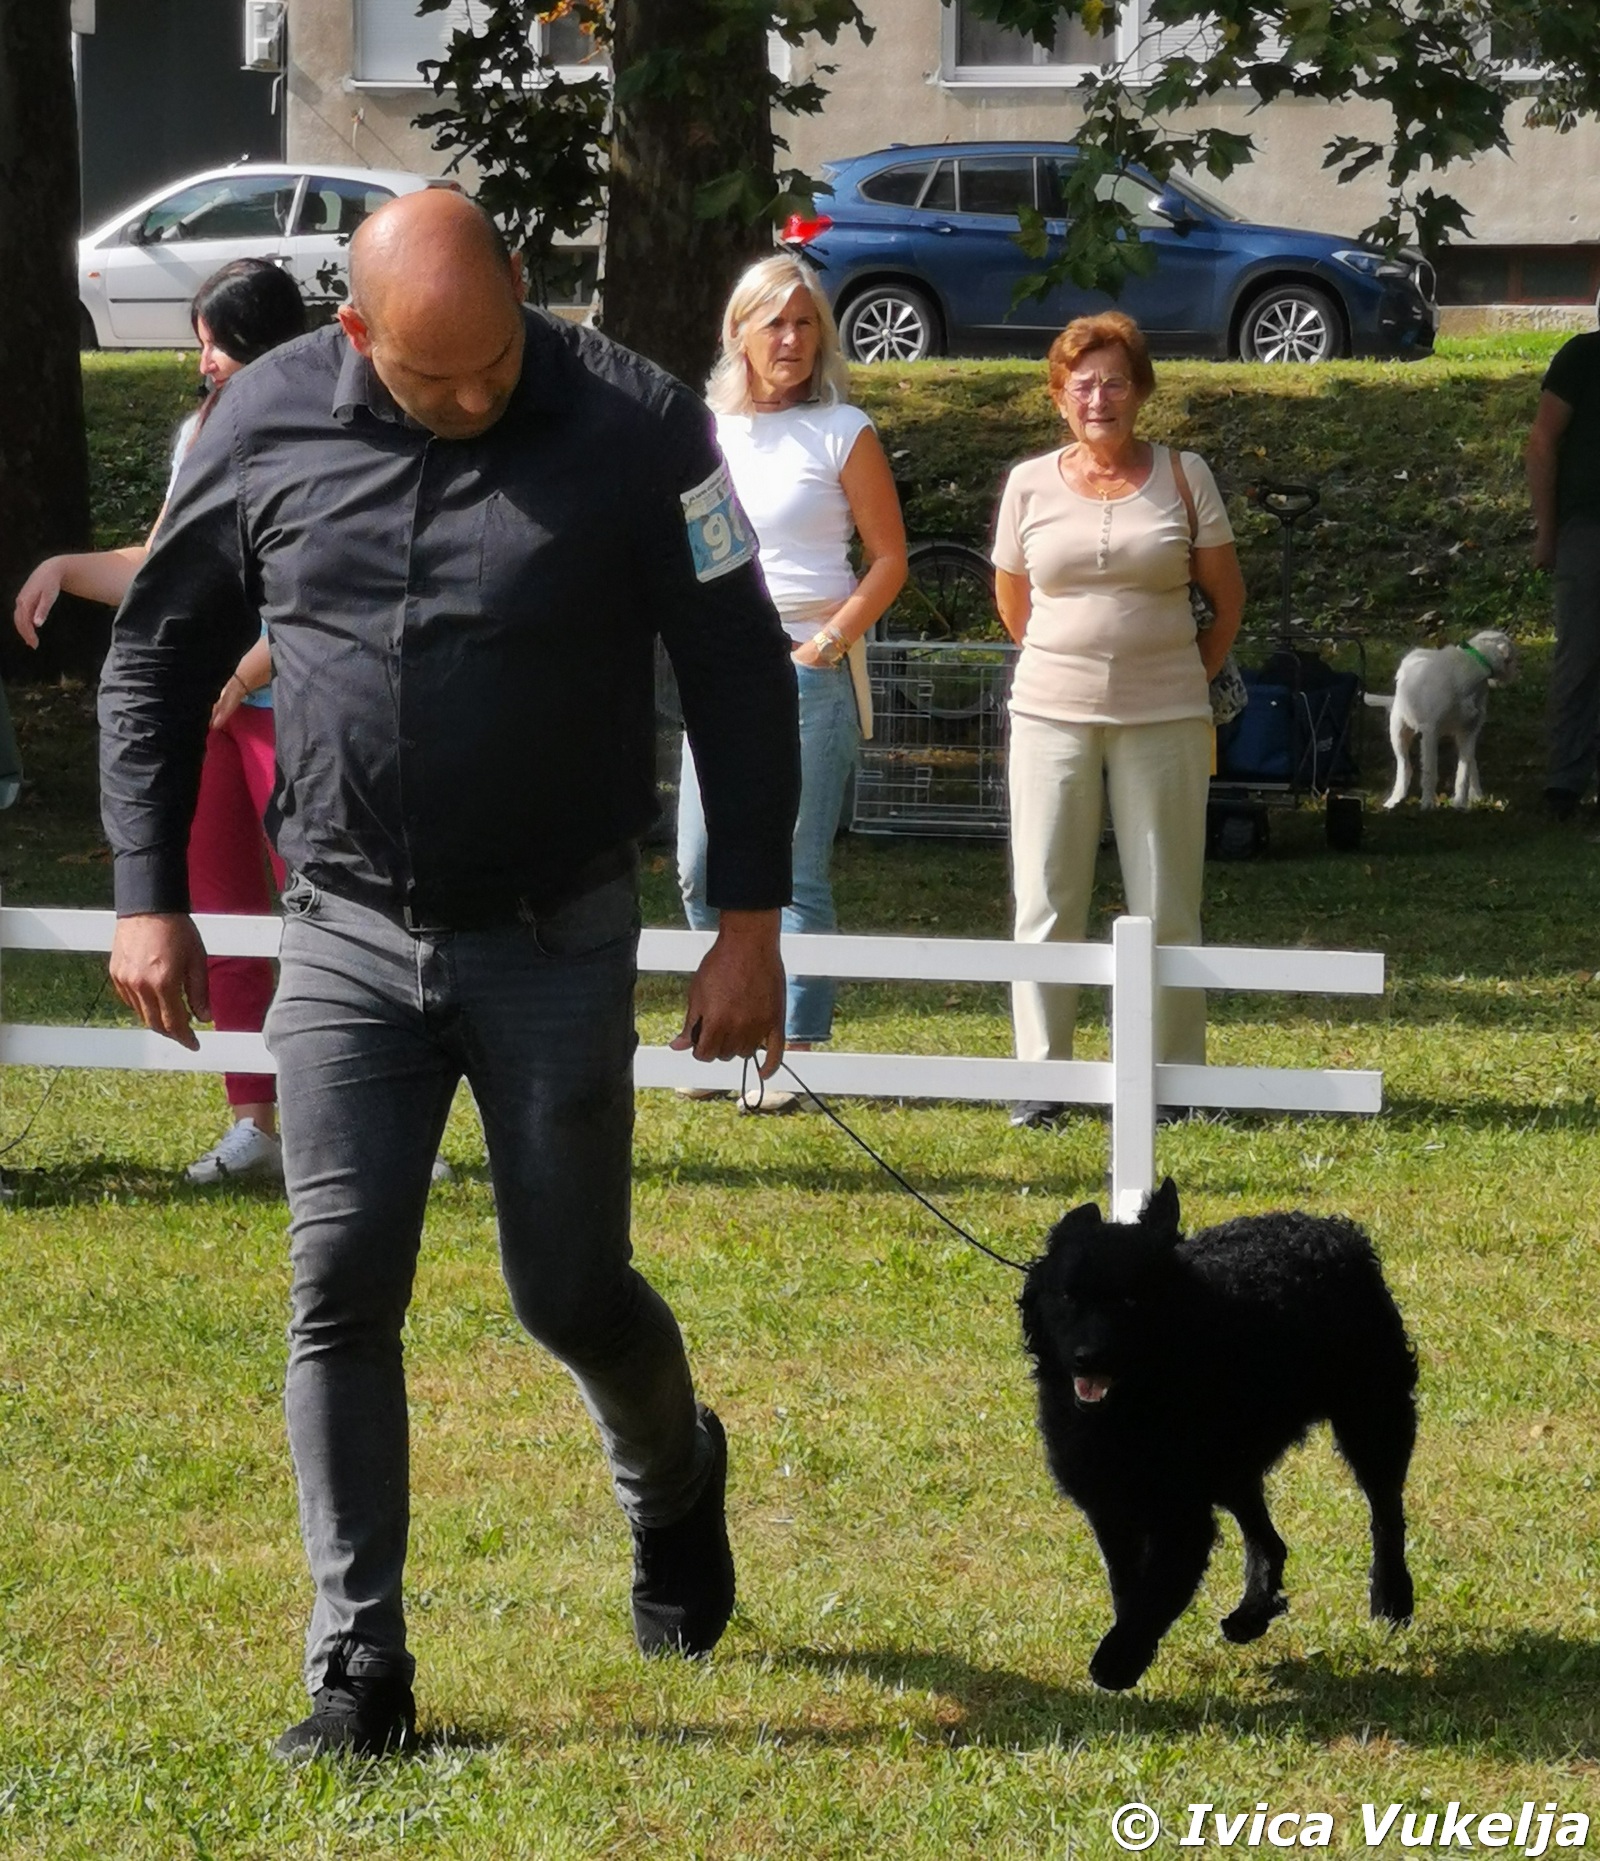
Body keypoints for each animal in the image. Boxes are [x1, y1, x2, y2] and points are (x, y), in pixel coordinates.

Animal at [1019, 1180, 1417, 1691]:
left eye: (1130, 1302)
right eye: (1068, 1297)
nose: (1089, 1357)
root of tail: (1333, 1228)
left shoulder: (1182, 1516)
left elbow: (1157, 1589)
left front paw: (1118, 1660)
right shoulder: (1109, 1504)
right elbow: (1128, 1585)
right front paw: (1130, 1650)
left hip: (1372, 1418)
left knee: (1386, 1514)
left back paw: (1391, 1599)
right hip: (1235, 1465)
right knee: (1270, 1541)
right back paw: (1252, 1614)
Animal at [1364, 628, 1519, 811]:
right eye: (1513, 655)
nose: (1517, 674)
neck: (1472, 663)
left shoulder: (1469, 732)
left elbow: (1463, 771)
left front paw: (1460, 804)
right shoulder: (1430, 731)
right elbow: (1430, 770)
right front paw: (1427, 804)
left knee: (1471, 763)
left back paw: (1476, 795)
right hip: (1398, 730)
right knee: (1404, 767)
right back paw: (1395, 799)